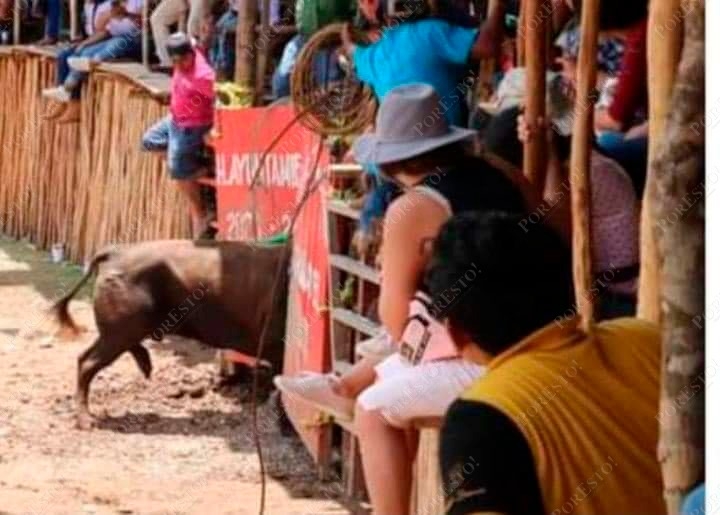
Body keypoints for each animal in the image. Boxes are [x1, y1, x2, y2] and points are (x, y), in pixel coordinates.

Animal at [53, 242, 290, 432]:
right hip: (120, 329)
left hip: (122, 329)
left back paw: (145, 365)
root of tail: (116, 252)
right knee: (88, 361)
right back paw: (86, 421)